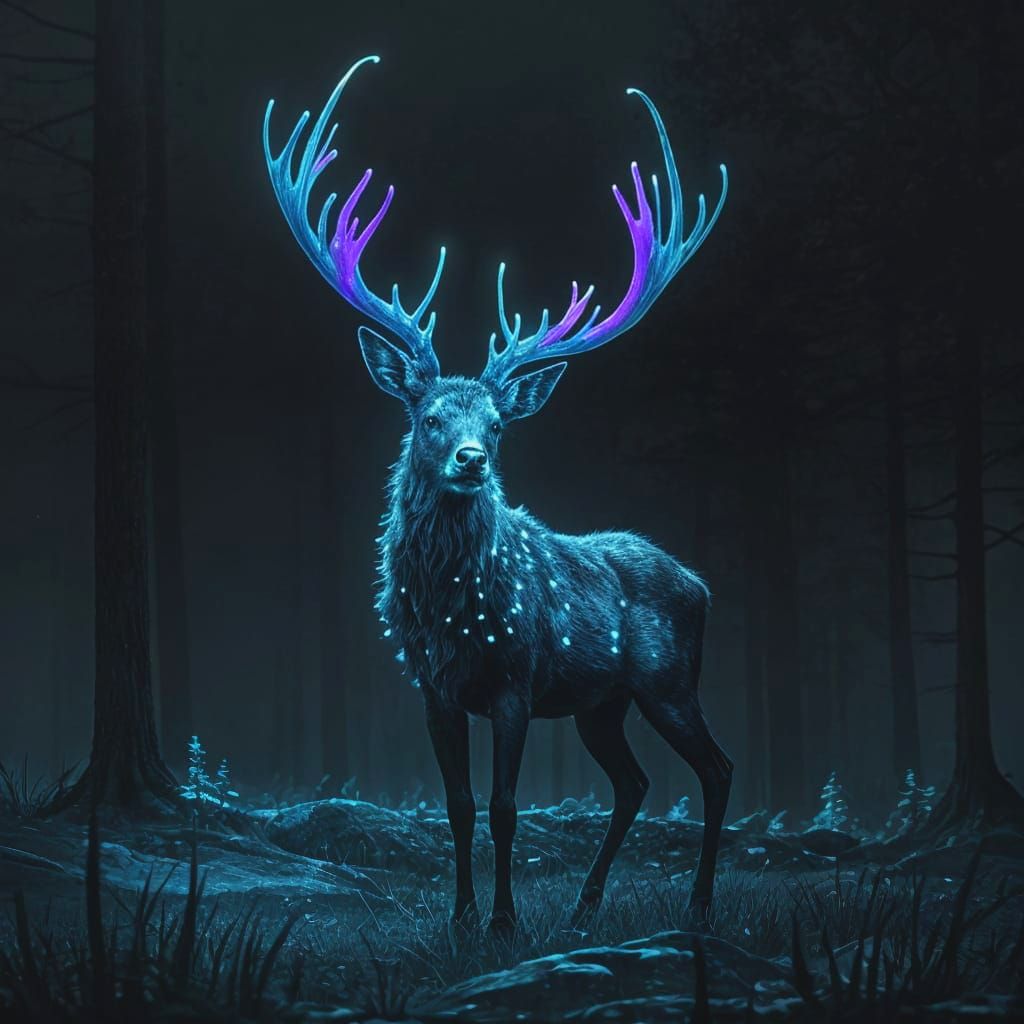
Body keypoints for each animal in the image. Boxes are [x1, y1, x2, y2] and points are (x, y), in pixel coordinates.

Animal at [263, 55, 732, 935]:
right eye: (430, 416)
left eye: (499, 424)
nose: (473, 458)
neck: (454, 608)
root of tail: (701, 584)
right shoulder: (434, 688)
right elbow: (458, 805)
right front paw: (460, 920)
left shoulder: (516, 679)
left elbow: (507, 806)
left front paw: (506, 923)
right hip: (601, 703)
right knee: (635, 784)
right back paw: (585, 910)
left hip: (667, 682)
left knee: (715, 769)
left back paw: (693, 907)